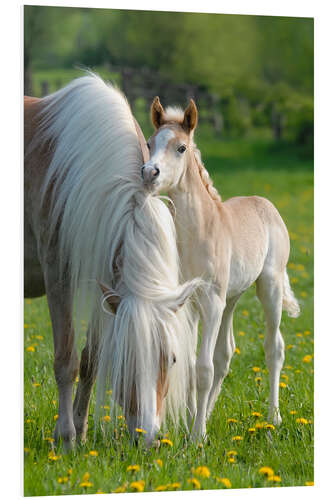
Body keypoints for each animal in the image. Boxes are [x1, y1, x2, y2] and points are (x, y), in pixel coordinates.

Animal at [24, 73, 200, 450]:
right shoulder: (58, 275)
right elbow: (66, 360)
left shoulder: (104, 280)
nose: (148, 440)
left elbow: (90, 359)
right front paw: (65, 437)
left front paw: (80, 429)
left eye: (172, 358)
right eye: (126, 359)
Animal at [141, 95, 300, 440]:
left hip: (267, 287)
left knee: (274, 348)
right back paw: (210, 413)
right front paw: (191, 424)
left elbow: (203, 368)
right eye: (149, 143)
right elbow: (191, 365)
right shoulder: (189, 303)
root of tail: (265, 203)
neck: (199, 231)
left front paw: (197, 437)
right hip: (231, 299)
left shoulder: (211, 300)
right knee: (225, 353)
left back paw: (274, 418)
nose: (149, 173)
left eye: (181, 147)